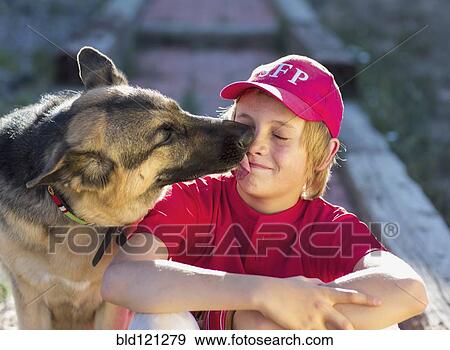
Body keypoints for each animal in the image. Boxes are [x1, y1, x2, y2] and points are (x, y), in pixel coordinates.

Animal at [0, 45, 253, 328]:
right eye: (166, 135)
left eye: (179, 110)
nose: (248, 133)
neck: (76, 217)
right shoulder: (30, 303)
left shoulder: (111, 307)